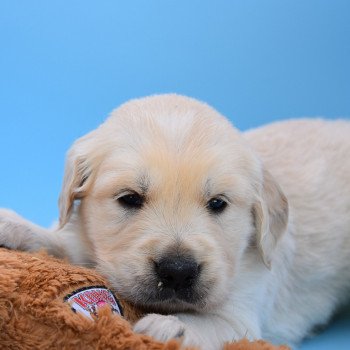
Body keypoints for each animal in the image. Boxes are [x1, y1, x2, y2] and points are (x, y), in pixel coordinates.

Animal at [0, 94, 350, 348]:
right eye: (129, 198)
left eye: (218, 203)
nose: (178, 271)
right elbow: (66, 243)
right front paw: (17, 227)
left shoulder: (241, 316)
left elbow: (207, 324)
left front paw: (167, 326)